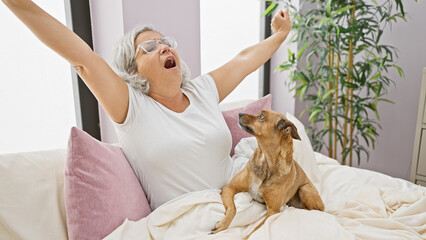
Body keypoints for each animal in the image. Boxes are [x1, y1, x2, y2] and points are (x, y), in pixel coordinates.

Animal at [211, 110, 324, 238]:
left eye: (261, 116)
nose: (239, 113)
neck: (265, 160)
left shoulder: (273, 211)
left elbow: (256, 229)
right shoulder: (229, 188)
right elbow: (233, 208)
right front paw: (222, 225)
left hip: (305, 189)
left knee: (315, 210)